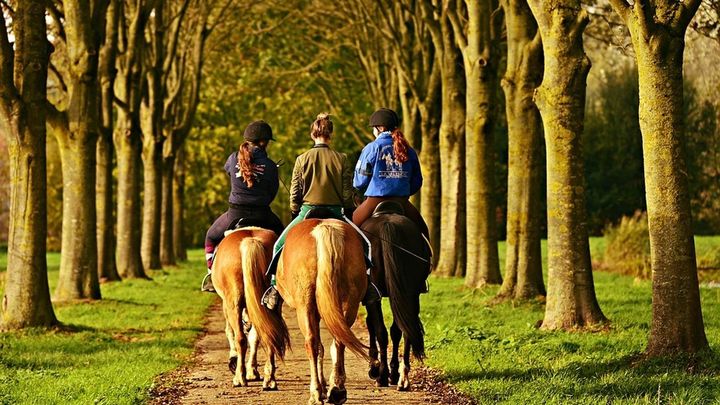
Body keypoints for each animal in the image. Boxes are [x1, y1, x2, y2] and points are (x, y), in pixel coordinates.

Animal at [211, 227, 291, 390]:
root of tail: (251, 241)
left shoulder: (226, 305)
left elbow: (230, 332)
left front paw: (235, 362)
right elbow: (254, 336)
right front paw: (252, 371)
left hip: (233, 303)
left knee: (240, 338)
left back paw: (239, 378)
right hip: (270, 304)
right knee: (269, 334)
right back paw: (269, 380)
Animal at [275, 216, 370, 405]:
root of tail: (324, 227)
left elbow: (319, 346)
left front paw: (322, 387)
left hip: (304, 306)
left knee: (311, 343)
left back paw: (315, 393)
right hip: (349, 302)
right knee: (340, 340)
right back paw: (337, 390)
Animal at [360, 201, 431, 391]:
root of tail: (388, 224)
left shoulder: (371, 298)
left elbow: (372, 326)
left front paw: (374, 368)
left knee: (382, 332)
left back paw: (383, 375)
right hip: (410, 293)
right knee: (405, 329)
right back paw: (402, 377)